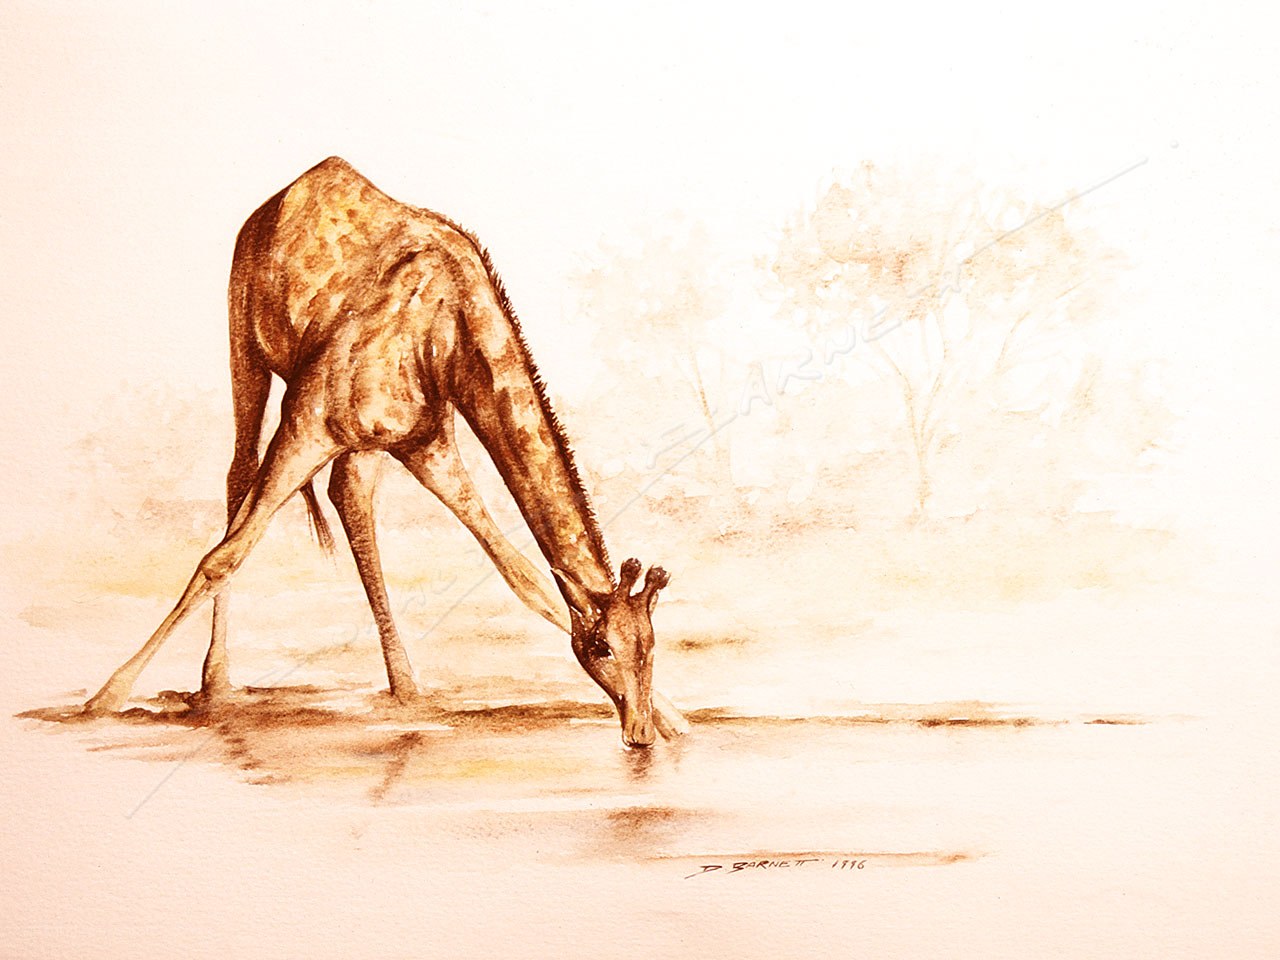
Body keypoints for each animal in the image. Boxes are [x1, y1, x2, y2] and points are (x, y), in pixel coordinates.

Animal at [83, 157, 687, 746]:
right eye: (602, 647)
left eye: (652, 647)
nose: (637, 733)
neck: (448, 342)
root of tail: (283, 195)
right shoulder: (308, 423)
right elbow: (222, 556)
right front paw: (105, 697)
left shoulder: (426, 443)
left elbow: (520, 573)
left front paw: (674, 718)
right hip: (246, 349)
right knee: (239, 477)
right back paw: (215, 683)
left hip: (364, 441)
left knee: (348, 500)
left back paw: (403, 685)